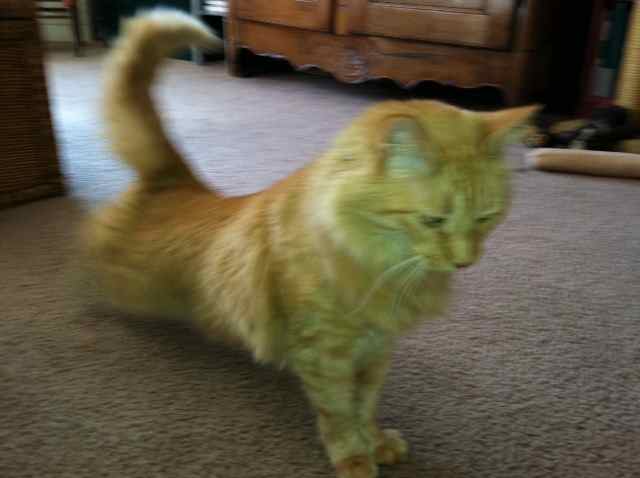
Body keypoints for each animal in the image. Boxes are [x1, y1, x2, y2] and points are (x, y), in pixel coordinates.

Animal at [82, 10, 538, 478]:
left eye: (486, 217)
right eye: (433, 220)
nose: (465, 261)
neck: (378, 265)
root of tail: (178, 182)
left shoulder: (378, 349)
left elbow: (365, 404)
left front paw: (376, 442)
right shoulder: (324, 353)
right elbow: (339, 413)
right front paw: (354, 457)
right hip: (130, 284)